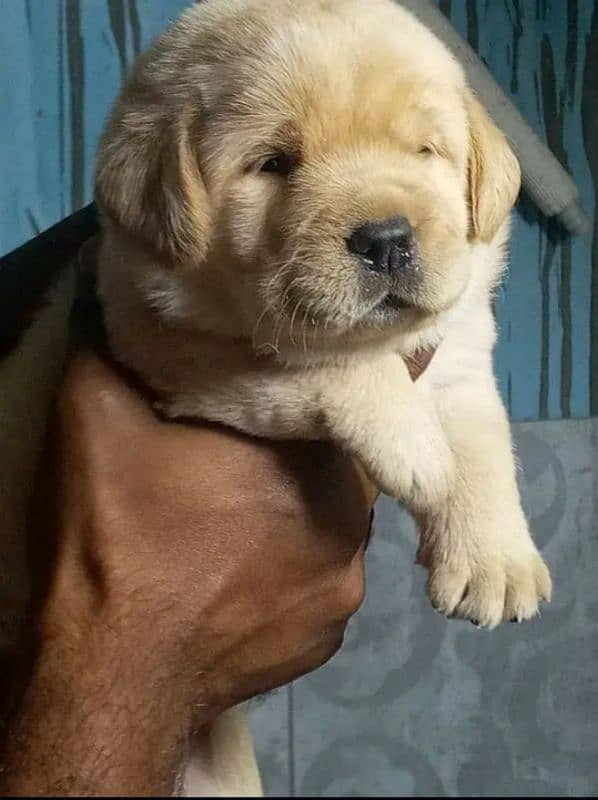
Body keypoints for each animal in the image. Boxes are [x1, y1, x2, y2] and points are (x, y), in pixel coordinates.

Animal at [95, 0, 552, 792]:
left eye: (424, 152)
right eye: (274, 164)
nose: (387, 239)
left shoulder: (462, 345)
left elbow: (483, 444)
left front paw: (494, 558)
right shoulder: (165, 337)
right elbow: (317, 356)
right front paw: (418, 450)